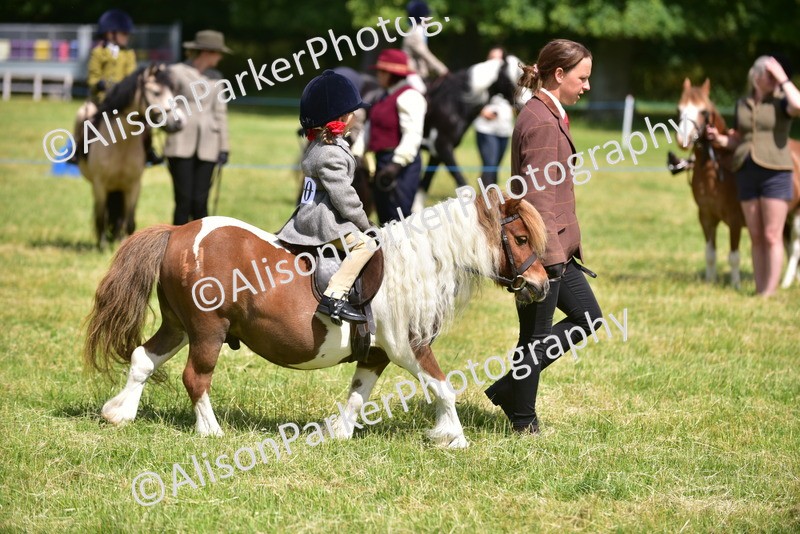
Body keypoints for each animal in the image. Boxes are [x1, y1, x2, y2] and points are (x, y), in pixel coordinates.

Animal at [77, 64, 180, 249]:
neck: (119, 144)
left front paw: (123, 242)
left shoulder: (133, 185)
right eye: (156, 92)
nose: (179, 122)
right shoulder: (100, 185)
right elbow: (102, 216)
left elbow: (129, 219)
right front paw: (102, 245)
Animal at [84, 188, 549, 448]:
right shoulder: (408, 347)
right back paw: (211, 431)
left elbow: (358, 395)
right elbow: (443, 388)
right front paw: (454, 439)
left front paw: (338, 434)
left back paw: (120, 413)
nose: (543, 285)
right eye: (520, 238)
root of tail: (177, 232)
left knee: (143, 359)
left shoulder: (377, 354)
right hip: (206, 331)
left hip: (179, 326)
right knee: (195, 378)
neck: (420, 261)